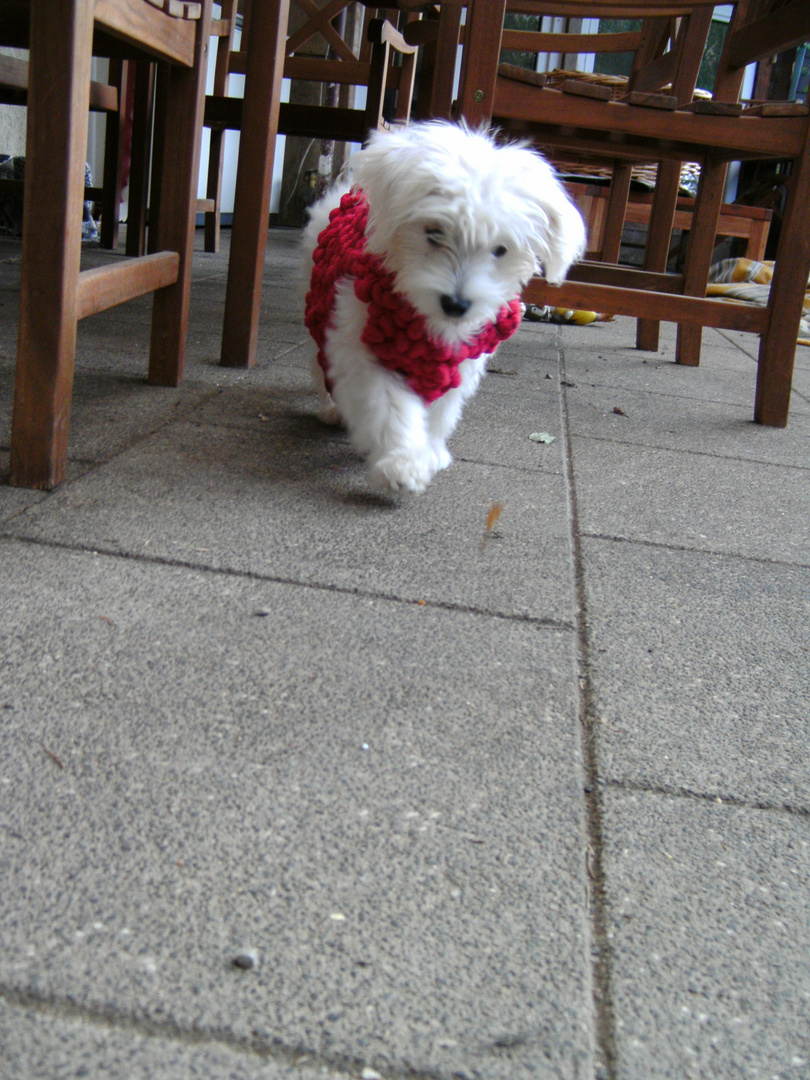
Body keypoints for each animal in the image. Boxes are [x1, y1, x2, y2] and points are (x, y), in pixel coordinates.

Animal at [302, 121, 587, 494]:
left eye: (501, 250)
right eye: (434, 232)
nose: (456, 304)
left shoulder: (456, 362)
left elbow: (441, 410)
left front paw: (429, 450)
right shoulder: (360, 345)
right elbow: (389, 407)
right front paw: (403, 462)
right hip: (319, 300)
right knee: (319, 359)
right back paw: (331, 407)